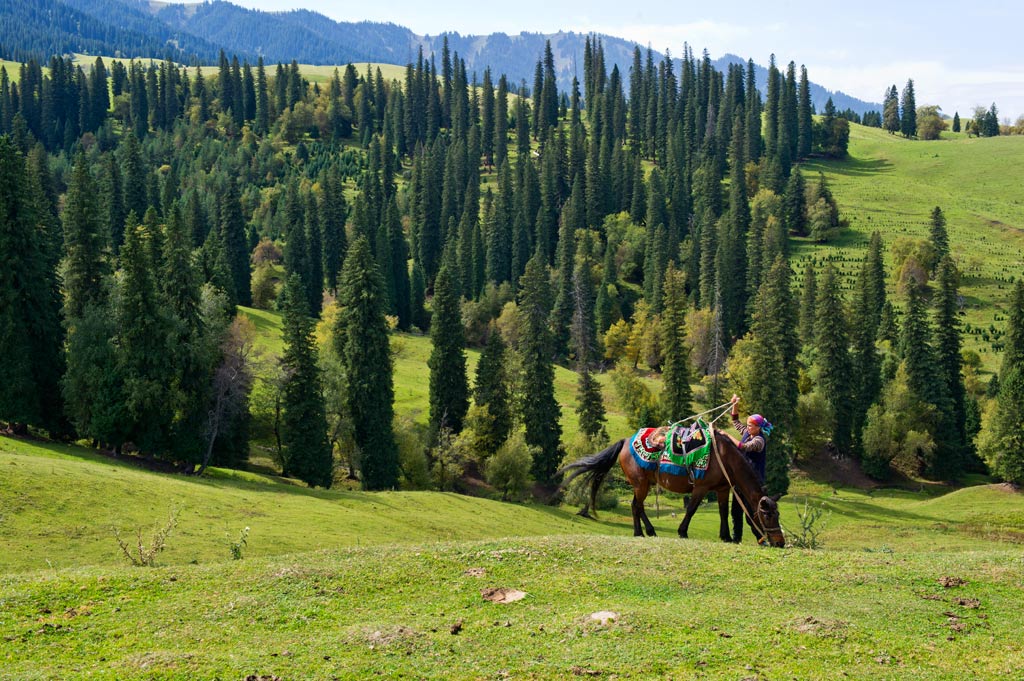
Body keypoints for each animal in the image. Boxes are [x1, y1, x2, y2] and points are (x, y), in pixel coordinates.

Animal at [561, 426, 782, 548]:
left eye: (777, 514)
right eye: (767, 515)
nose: (780, 542)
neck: (725, 457)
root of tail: (625, 441)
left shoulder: (722, 489)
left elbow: (723, 512)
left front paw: (726, 536)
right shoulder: (701, 487)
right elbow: (691, 509)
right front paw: (683, 531)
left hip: (645, 484)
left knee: (638, 506)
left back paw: (650, 531)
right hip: (640, 483)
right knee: (635, 506)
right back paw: (639, 533)